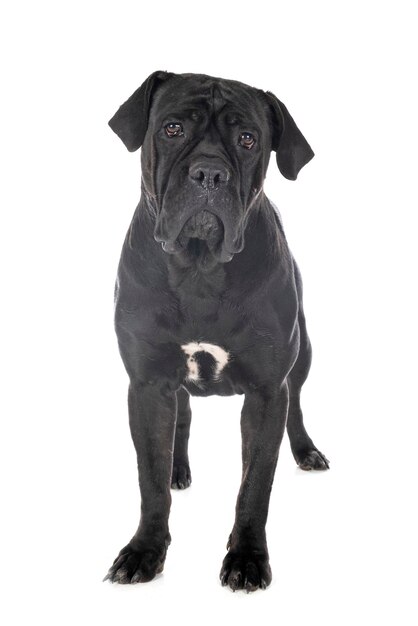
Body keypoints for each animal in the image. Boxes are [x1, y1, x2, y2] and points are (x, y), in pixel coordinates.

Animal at [104, 72, 330, 588]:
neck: (199, 269)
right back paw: (178, 467)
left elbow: (255, 485)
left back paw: (307, 451)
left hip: (303, 356)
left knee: (296, 406)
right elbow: (150, 478)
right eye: (172, 128)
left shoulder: (267, 390)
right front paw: (144, 552)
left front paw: (247, 558)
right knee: (182, 416)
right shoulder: (147, 384)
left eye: (248, 138)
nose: (209, 173)